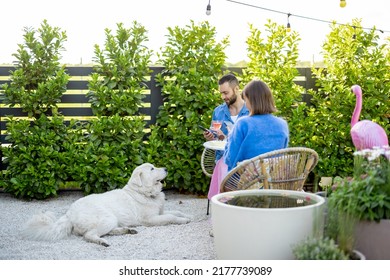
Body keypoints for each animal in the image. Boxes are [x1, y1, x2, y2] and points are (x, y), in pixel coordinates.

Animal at [21, 163, 192, 246]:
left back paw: (127, 230)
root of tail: (69, 213)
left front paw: (186, 215)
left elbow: (175, 211)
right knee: (89, 235)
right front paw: (183, 220)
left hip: (111, 220)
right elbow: (171, 217)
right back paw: (102, 242)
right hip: (107, 218)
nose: (166, 168)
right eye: (152, 169)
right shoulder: (150, 219)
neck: (144, 192)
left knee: (104, 231)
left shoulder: (160, 212)